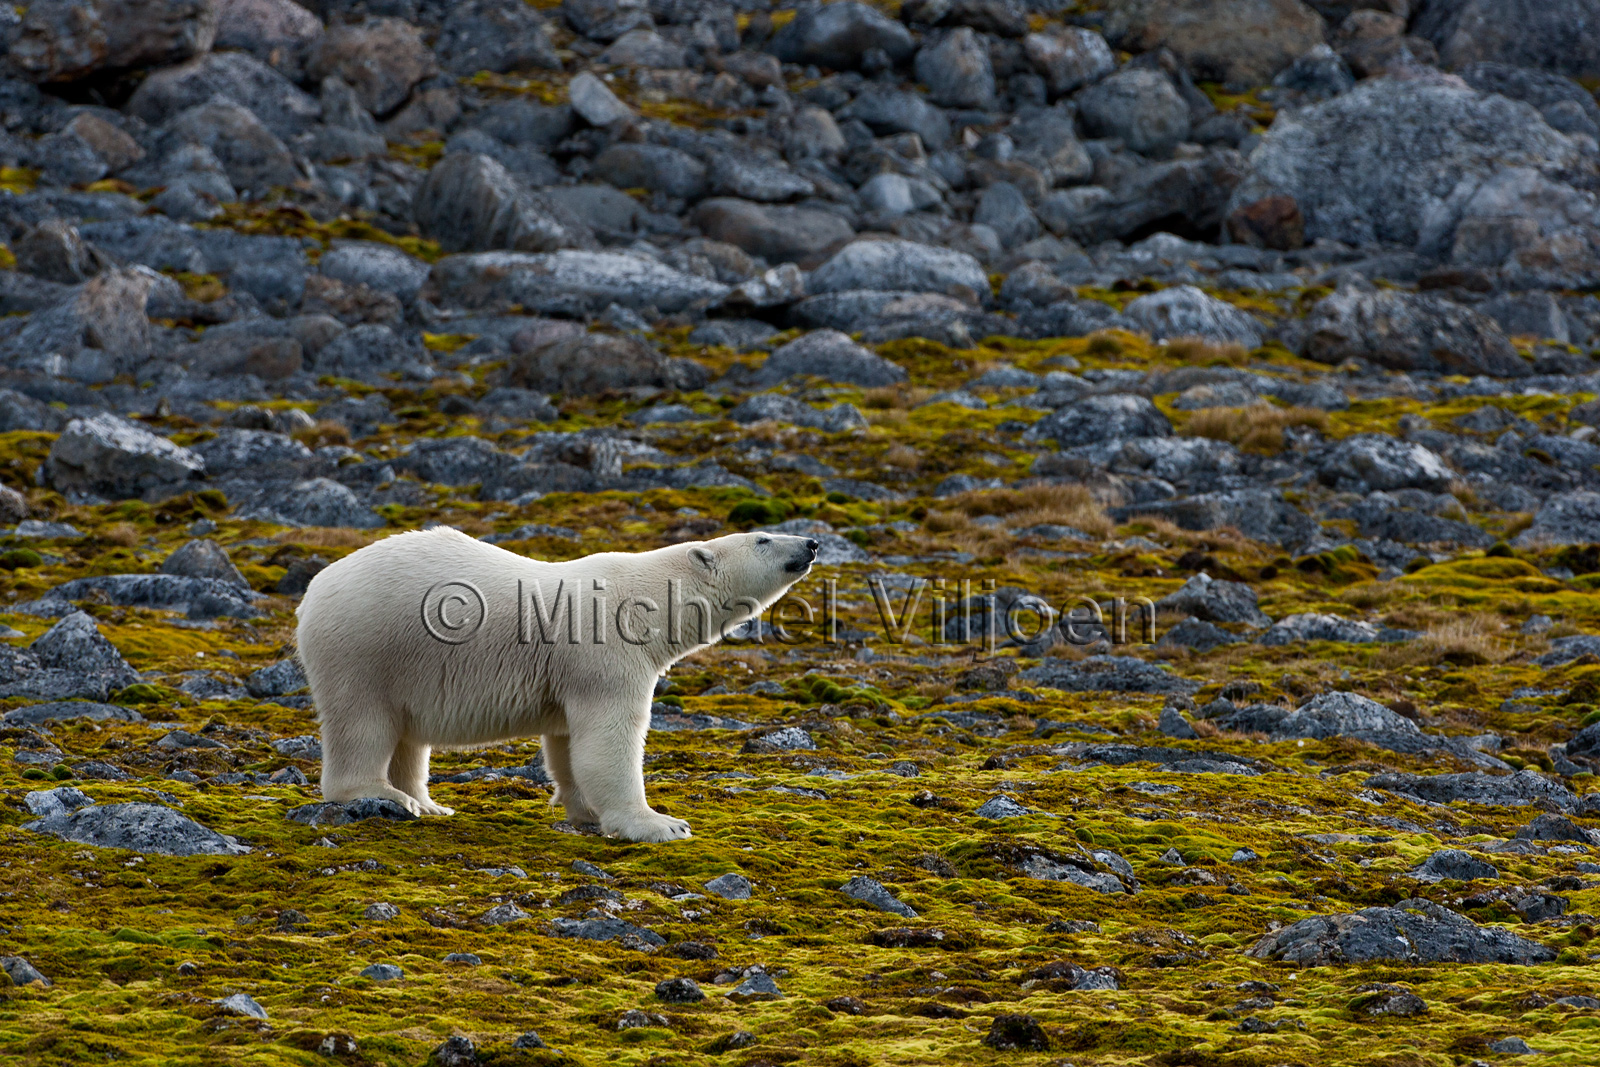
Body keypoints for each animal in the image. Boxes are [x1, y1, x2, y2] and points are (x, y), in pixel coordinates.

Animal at [295, 527, 819, 842]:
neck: (649, 597)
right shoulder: (605, 651)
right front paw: (661, 824)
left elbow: (568, 743)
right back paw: (383, 795)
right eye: (763, 538)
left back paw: (430, 803)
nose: (812, 542)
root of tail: (313, 591)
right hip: (366, 649)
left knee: (407, 736)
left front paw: (584, 811)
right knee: (363, 723)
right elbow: (608, 740)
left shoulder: (568, 674)